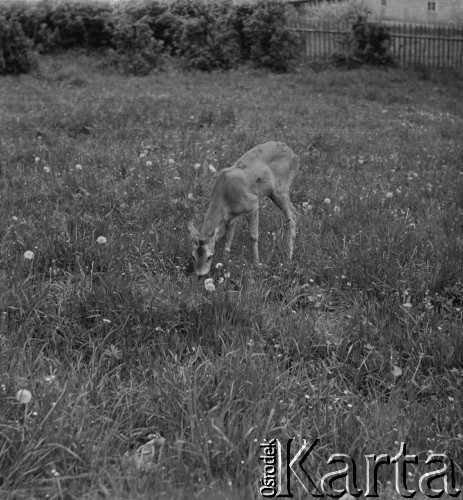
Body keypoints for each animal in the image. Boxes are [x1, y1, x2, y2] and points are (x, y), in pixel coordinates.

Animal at [188, 142, 300, 278]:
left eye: (209, 256)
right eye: (193, 257)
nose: (200, 275)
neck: (224, 195)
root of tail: (294, 155)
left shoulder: (252, 205)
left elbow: (253, 236)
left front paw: (257, 264)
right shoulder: (231, 218)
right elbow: (228, 239)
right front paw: (224, 262)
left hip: (280, 189)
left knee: (292, 217)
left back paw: (289, 257)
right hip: (275, 193)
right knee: (295, 212)